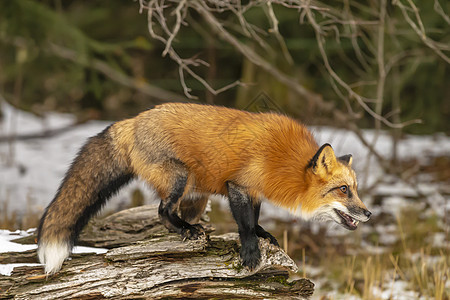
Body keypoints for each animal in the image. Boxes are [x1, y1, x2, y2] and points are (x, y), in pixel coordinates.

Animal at [37, 102, 370, 274]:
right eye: (343, 190)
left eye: (355, 189)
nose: (368, 214)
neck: (284, 161)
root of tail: (132, 121)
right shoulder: (238, 185)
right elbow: (244, 224)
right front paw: (250, 252)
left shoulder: (255, 191)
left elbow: (255, 219)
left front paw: (263, 235)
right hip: (180, 177)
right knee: (162, 211)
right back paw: (185, 229)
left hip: (193, 190)